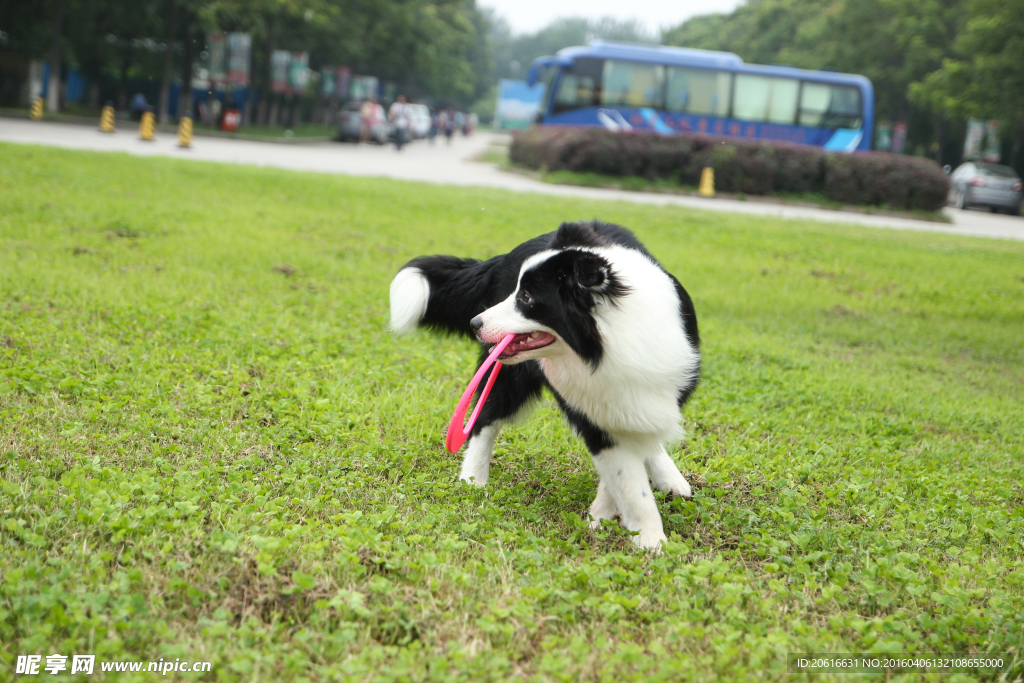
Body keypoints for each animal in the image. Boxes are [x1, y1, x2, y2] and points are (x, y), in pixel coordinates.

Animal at [387, 222, 700, 552]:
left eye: (526, 297)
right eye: (516, 290)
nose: (475, 323)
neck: (613, 341)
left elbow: (627, 465)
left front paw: (608, 518)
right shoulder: (593, 411)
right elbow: (628, 480)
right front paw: (651, 540)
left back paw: (669, 478)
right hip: (508, 375)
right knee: (484, 419)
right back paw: (472, 480)